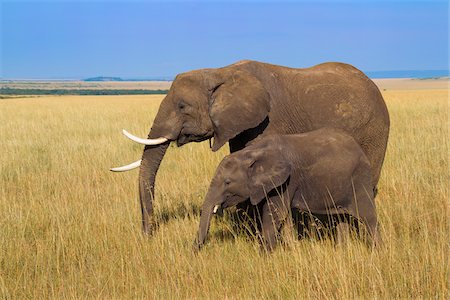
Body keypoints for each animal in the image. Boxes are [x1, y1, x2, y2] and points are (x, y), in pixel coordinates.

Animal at [110, 60, 388, 234]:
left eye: (181, 106)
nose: (148, 234)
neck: (220, 72)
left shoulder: (270, 121)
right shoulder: (238, 125)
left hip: (375, 132)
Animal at [193, 127, 380, 252]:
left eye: (228, 182)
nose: (196, 249)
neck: (251, 152)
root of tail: (359, 149)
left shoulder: (287, 180)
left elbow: (275, 215)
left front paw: (264, 255)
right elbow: (284, 218)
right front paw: (290, 250)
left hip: (359, 178)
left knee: (369, 217)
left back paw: (376, 251)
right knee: (341, 219)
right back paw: (341, 251)